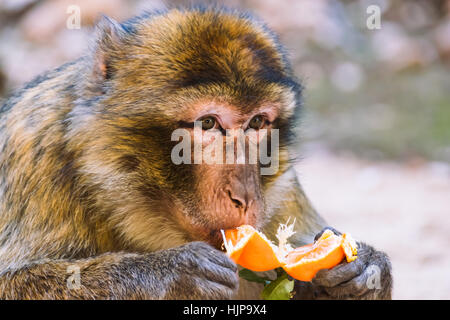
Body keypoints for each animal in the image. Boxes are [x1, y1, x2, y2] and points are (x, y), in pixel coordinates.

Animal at [0, 6, 394, 298]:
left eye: (257, 122)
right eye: (208, 123)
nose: (245, 196)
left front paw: (364, 272)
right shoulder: (34, 150)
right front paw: (171, 275)